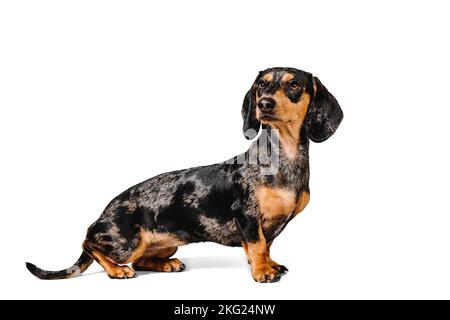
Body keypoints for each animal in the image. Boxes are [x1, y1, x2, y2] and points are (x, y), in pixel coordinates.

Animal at [26, 67, 342, 282]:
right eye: (261, 85)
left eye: (294, 85)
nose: (264, 103)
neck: (281, 158)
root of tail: (103, 214)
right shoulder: (247, 216)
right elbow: (258, 246)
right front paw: (263, 271)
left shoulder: (271, 224)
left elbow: (267, 245)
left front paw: (270, 264)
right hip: (125, 242)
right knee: (90, 245)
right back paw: (117, 270)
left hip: (167, 245)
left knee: (140, 260)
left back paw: (166, 265)